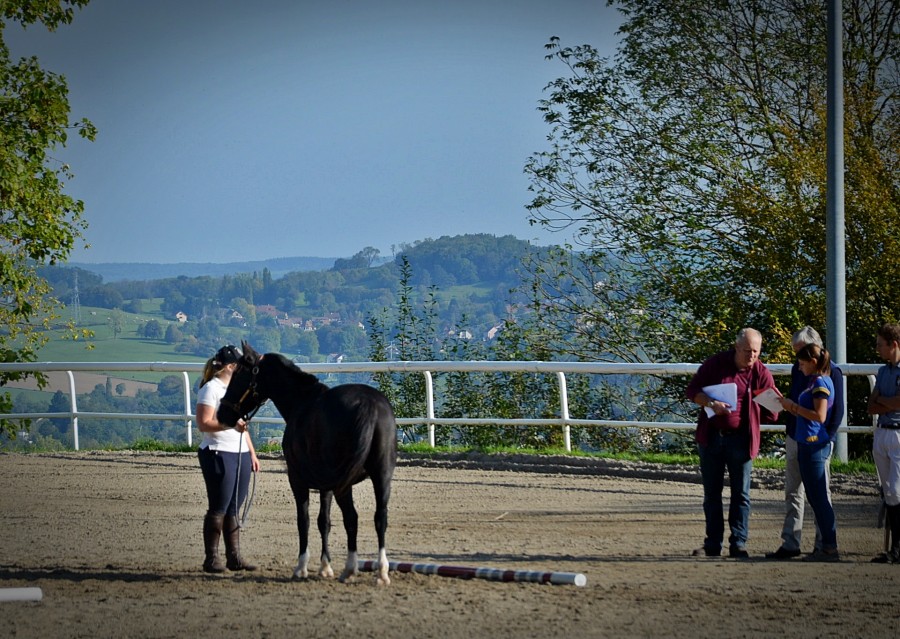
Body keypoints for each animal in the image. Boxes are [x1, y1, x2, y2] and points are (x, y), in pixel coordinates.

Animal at [217, 341, 397, 585]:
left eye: (239, 375)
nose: (222, 413)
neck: (301, 403)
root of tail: (369, 405)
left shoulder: (297, 480)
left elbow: (304, 520)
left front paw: (301, 567)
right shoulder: (325, 485)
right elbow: (324, 521)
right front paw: (325, 567)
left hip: (344, 483)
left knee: (352, 518)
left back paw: (350, 569)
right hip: (381, 475)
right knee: (380, 518)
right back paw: (381, 572)